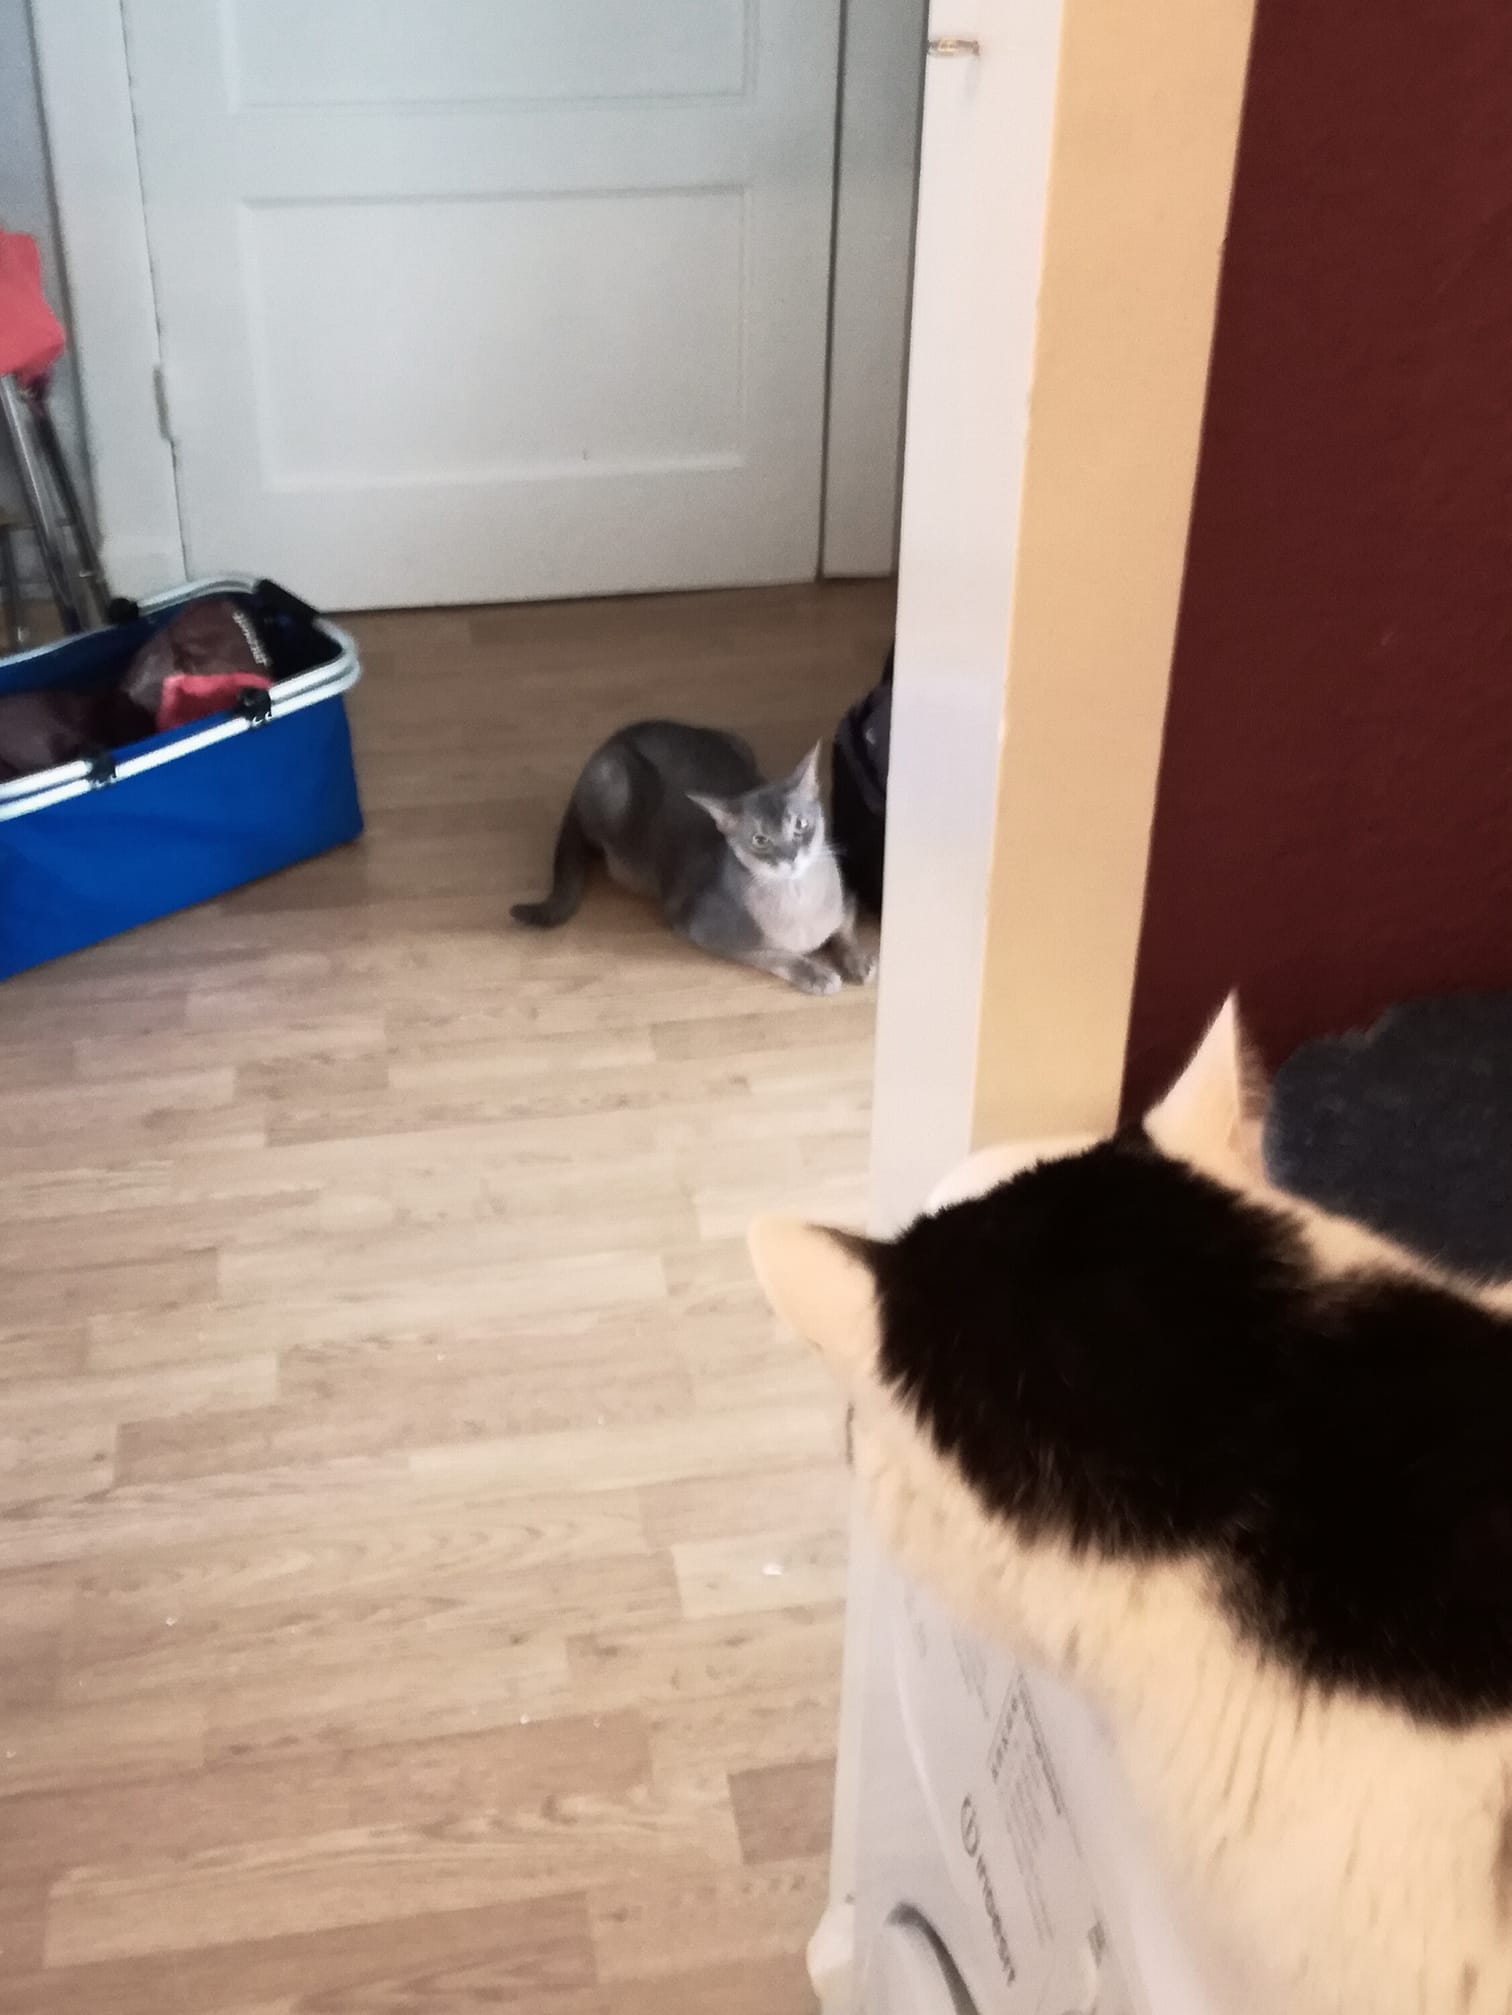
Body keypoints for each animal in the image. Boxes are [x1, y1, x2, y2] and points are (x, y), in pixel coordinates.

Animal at [512, 720, 875, 996]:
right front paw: (817, 975)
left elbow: (844, 931)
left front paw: (858, 962)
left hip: (738, 742)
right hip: (613, 782)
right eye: (760, 840)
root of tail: (617, 736)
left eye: (800, 824)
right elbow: (775, 955)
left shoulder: (848, 898)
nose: (790, 856)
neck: (800, 899)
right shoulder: (703, 931)